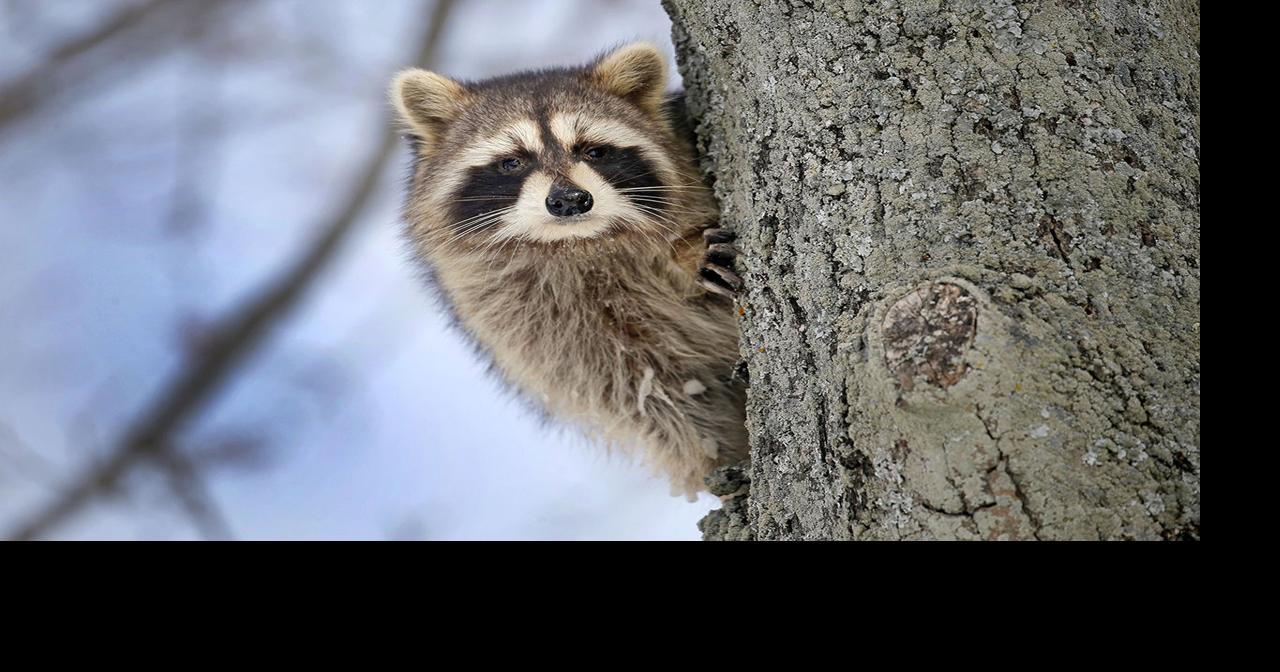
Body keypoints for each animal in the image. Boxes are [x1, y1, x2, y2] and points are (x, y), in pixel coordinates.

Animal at [390, 43, 745, 499]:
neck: (581, 245)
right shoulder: (534, 323)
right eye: (512, 162)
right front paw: (712, 454)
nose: (570, 200)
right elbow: (647, 395)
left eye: (593, 150)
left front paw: (687, 251)